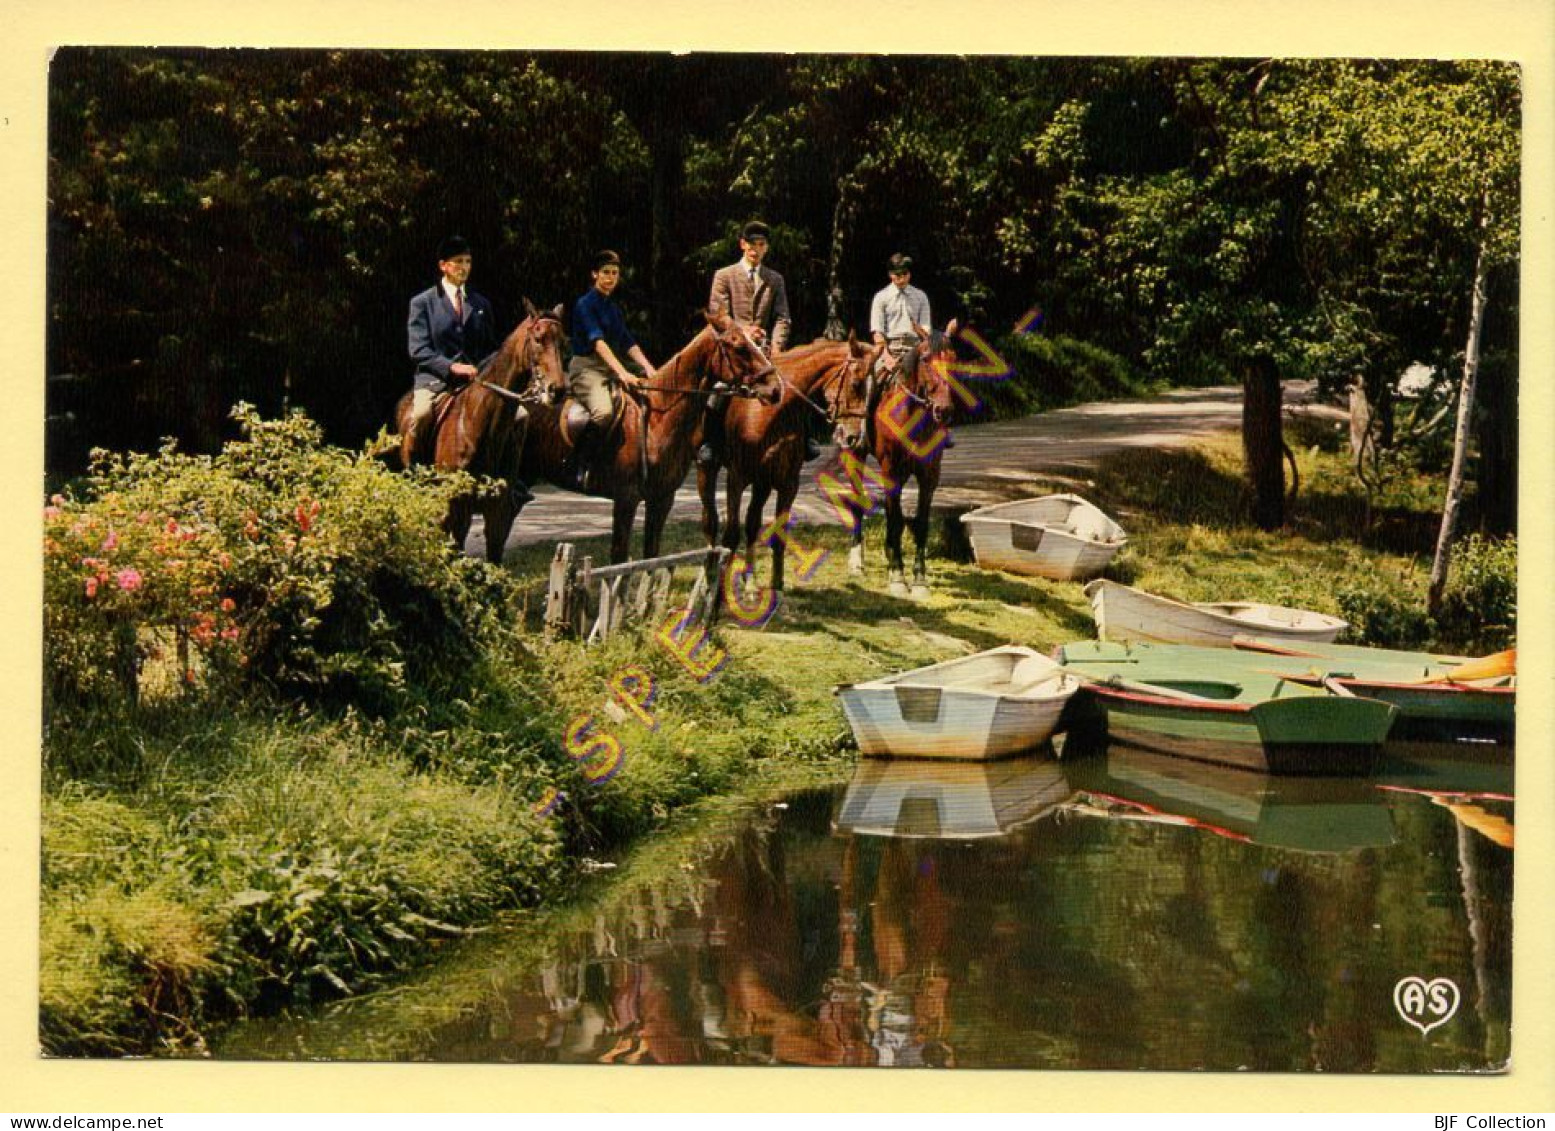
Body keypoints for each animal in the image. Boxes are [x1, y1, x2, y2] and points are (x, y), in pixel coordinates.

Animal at [391, 303, 569, 563]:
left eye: (564, 342)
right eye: (538, 339)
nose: (557, 390)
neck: (481, 424)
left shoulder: (499, 511)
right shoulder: (458, 508)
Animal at [519, 311, 777, 563]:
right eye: (739, 347)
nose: (775, 388)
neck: (656, 419)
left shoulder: (661, 500)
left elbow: (651, 557)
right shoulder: (626, 499)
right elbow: (620, 559)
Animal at [699, 336, 883, 597]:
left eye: (874, 390)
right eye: (856, 383)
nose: (854, 437)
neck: (771, 411)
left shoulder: (788, 483)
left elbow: (778, 533)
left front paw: (776, 584)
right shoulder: (736, 478)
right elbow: (731, 534)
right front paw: (722, 592)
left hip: (762, 484)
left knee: (752, 524)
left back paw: (750, 582)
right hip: (708, 471)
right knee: (711, 522)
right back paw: (710, 577)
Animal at [839, 320, 957, 597]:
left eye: (954, 358)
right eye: (925, 359)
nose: (944, 409)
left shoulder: (929, 475)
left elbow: (919, 522)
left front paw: (920, 579)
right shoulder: (890, 470)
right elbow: (895, 519)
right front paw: (897, 577)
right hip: (854, 453)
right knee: (858, 502)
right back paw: (857, 562)